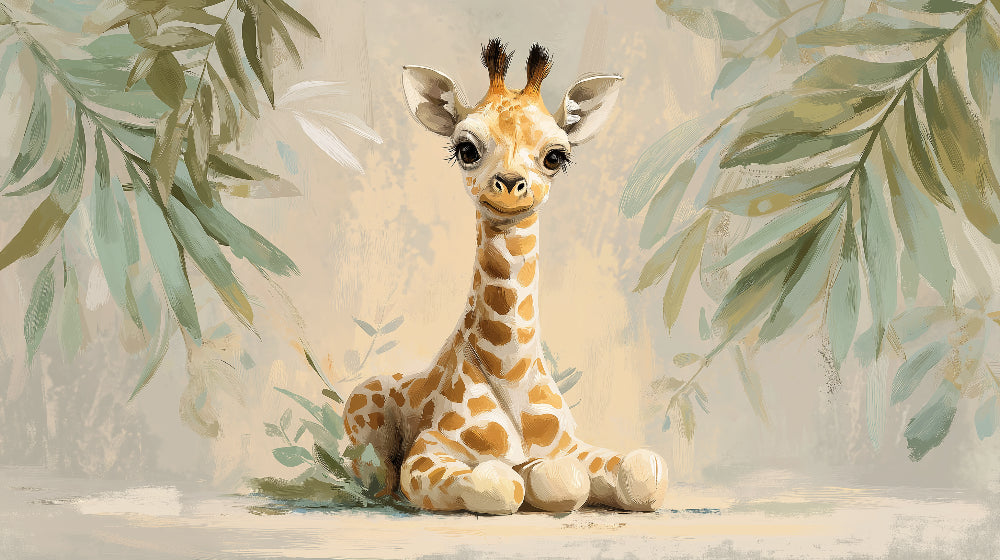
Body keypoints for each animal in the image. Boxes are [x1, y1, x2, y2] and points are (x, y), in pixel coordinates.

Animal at [343, 39, 668, 515]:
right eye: (466, 149)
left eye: (556, 156)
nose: (510, 183)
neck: (511, 372)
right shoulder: (428, 453)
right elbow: (500, 483)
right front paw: (527, 478)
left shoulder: (571, 446)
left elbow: (639, 471)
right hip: (365, 440)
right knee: (373, 475)